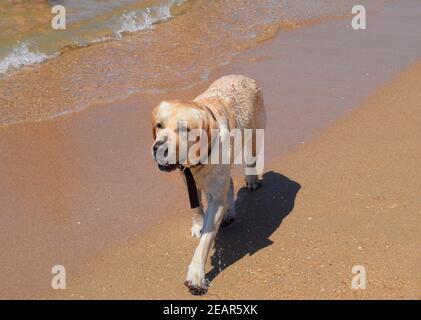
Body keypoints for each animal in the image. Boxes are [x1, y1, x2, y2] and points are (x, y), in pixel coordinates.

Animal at [150, 75, 266, 296]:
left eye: (184, 129)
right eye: (159, 125)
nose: (158, 147)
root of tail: (242, 76)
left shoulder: (216, 199)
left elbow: (205, 241)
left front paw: (196, 275)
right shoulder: (187, 178)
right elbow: (196, 206)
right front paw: (198, 225)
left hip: (255, 134)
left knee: (251, 159)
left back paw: (251, 180)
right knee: (229, 183)